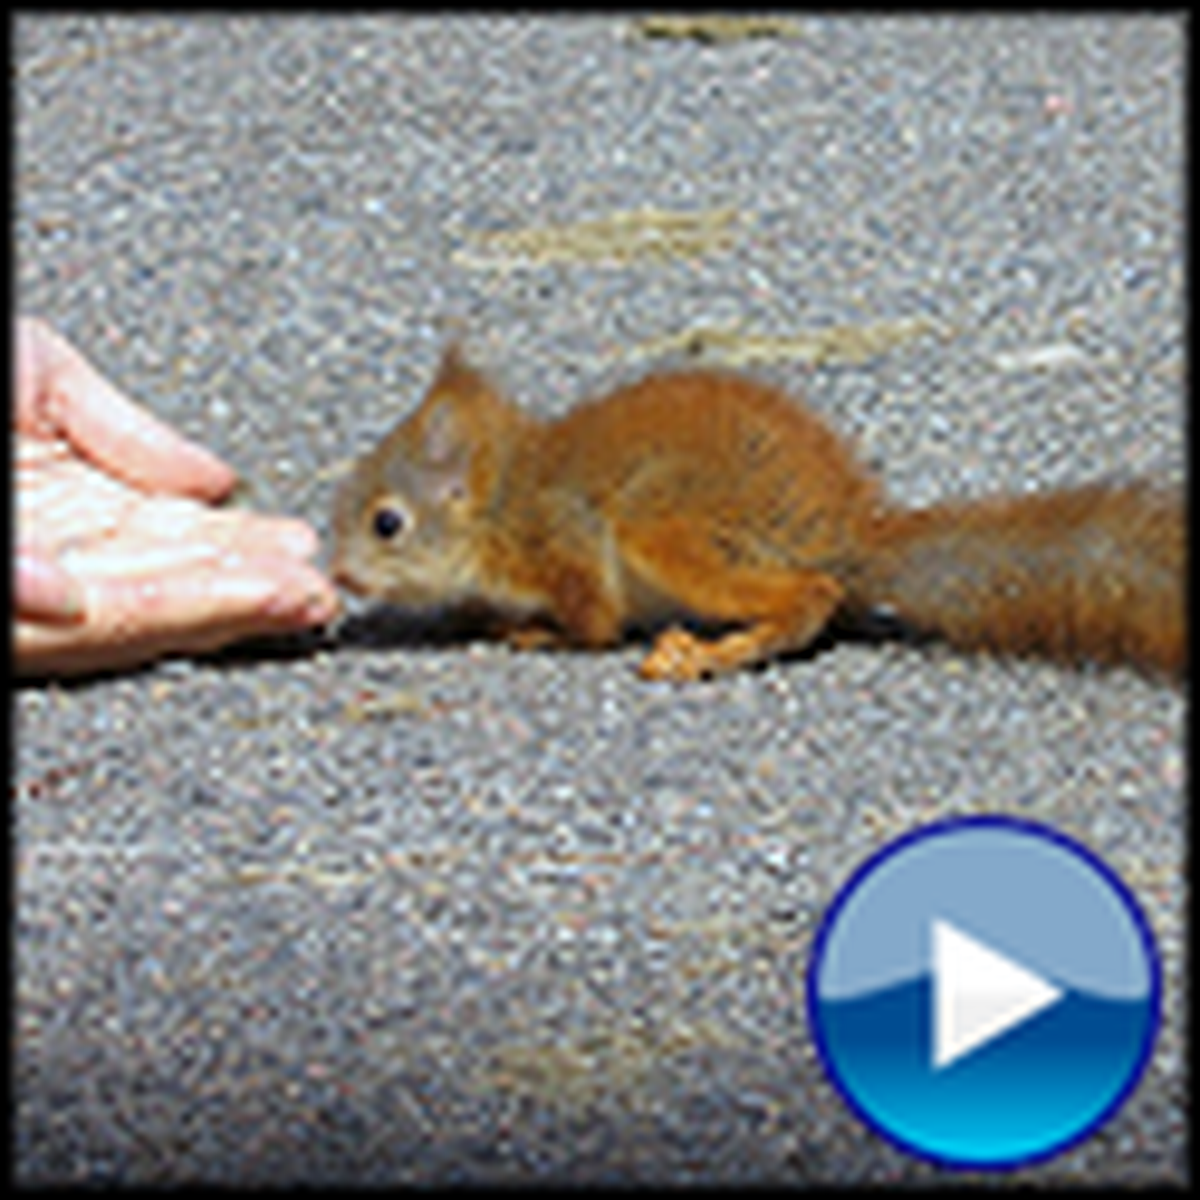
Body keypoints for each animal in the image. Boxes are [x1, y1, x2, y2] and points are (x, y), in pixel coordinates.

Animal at [331, 345, 1184, 682]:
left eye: (386, 523)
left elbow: (594, 622)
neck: (500, 505)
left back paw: (722, 649)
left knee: (812, 597)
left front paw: (538, 634)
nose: (337, 574)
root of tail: (846, 537)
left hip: (668, 528)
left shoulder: (563, 541)